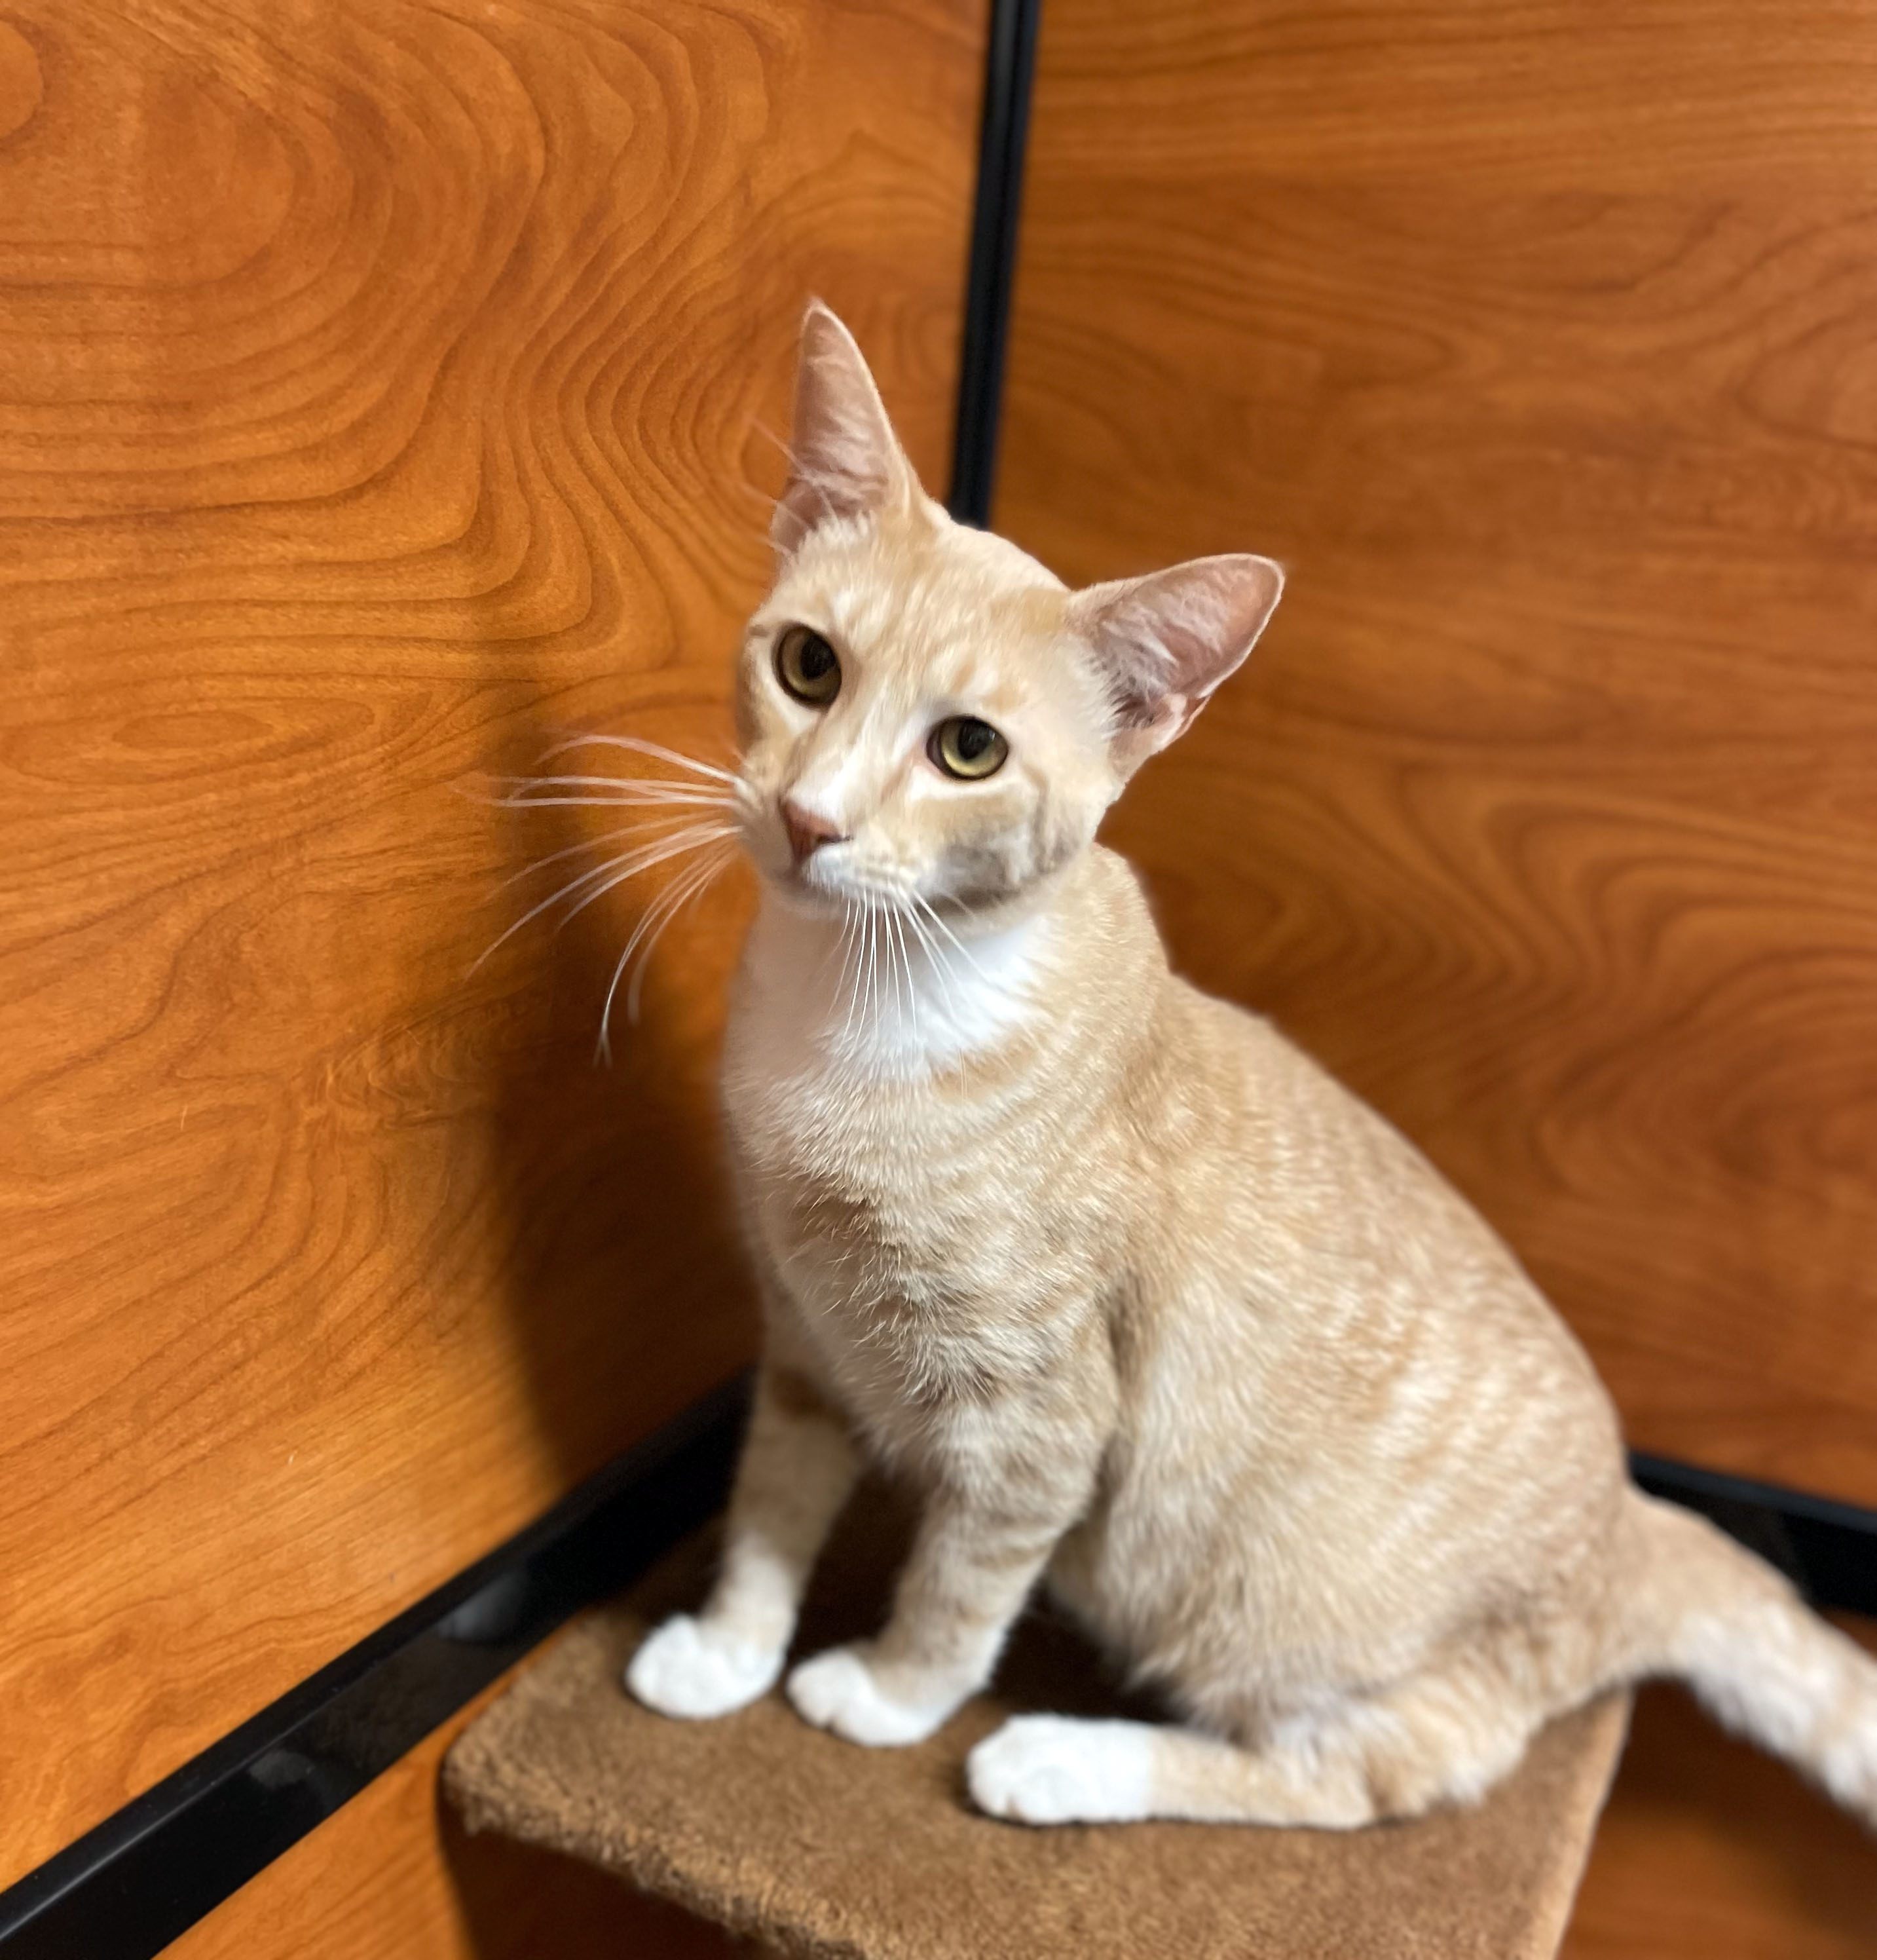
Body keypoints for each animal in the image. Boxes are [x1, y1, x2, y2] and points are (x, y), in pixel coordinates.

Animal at [627, 297, 1877, 1826]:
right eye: (808, 665)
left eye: (967, 749)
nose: (810, 820)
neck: (867, 1002)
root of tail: (1634, 1524)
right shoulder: (800, 1329)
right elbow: (769, 1497)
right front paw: (728, 1647)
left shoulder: (1036, 1426)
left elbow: (955, 1584)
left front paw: (884, 1691)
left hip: (1262, 1614)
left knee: (1356, 1776)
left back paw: (1059, 1755)